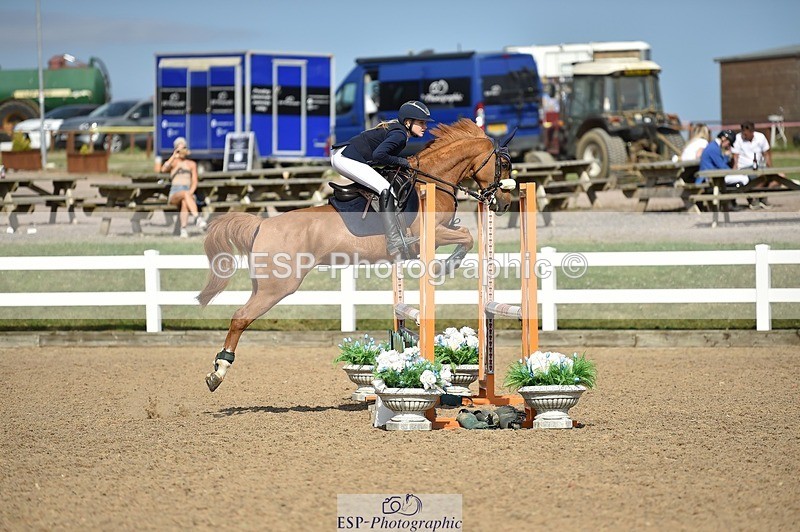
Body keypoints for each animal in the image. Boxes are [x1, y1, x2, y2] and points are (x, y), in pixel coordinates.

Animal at [197, 118, 515, 391]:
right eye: (503, 164)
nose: (503, 203)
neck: (434, 180)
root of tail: (262, 224)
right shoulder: (432, 234)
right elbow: (467, 237)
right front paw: (444, 268)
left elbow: (465, 235)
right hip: (277, 287)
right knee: (240, 317)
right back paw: (218, 372)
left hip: (263, 285)